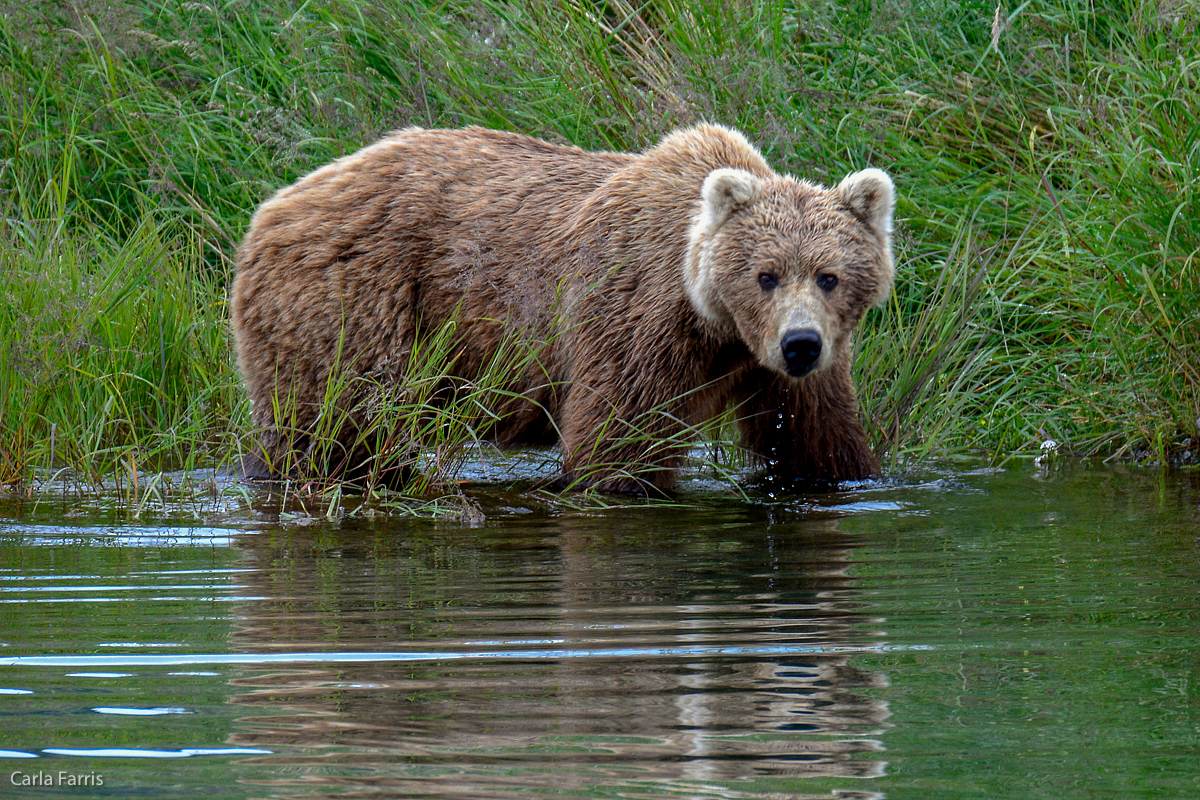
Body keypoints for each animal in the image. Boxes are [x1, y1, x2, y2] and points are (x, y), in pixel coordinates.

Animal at [229, 125, 897, 494]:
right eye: (765, 275)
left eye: (830, 276)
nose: (799, 343)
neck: (718, 328)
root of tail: (276, 203)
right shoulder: (636, 321)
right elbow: (617, 445)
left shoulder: (781, 369)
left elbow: (820, 443)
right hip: (357, 300)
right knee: (337, 425)